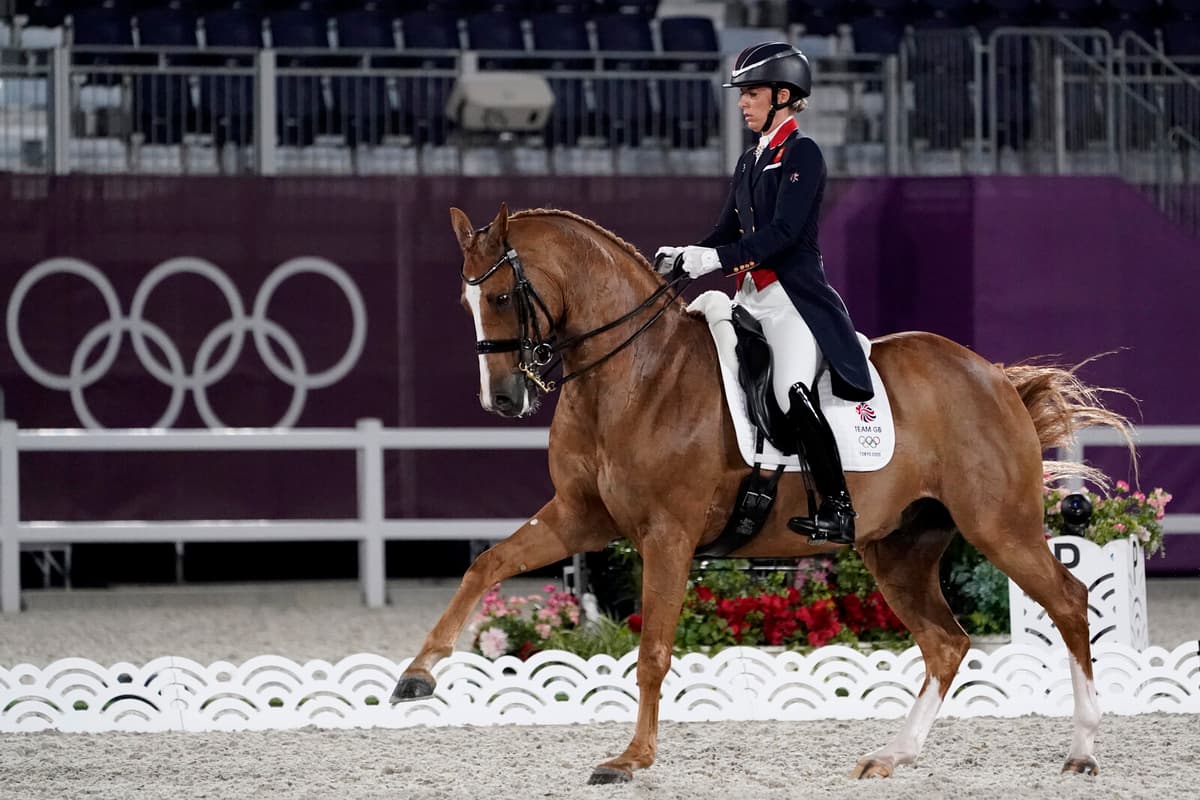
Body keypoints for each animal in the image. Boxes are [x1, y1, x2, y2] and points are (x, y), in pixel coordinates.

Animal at [391, 203, 1132, 784]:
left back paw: (1084, 751)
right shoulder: (582, 518)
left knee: (1069, 603)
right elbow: (486, 564)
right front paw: (417, 676)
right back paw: (893, 755)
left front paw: (631, 759)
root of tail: (995, 377)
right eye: (465, 300)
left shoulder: (667, 535)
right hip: (900, 546)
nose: (502, 398)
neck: (633, 374)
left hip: (997, 526)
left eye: (502, 297)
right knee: (946, 643)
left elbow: (653, 652)